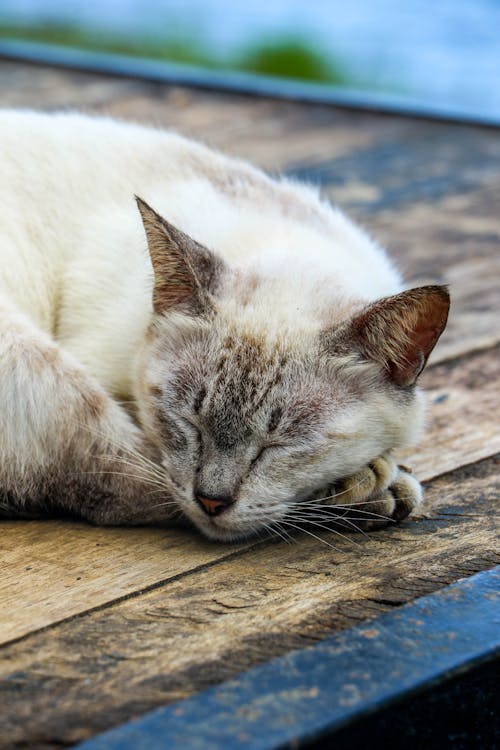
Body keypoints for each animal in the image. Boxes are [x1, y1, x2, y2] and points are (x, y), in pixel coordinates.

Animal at [0, 110, 450, 540]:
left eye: (279, 444)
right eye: (188, 422)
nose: (211, 502)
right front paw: (371, 476)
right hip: (41, 365)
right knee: (126, 485)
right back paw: (375, 491)